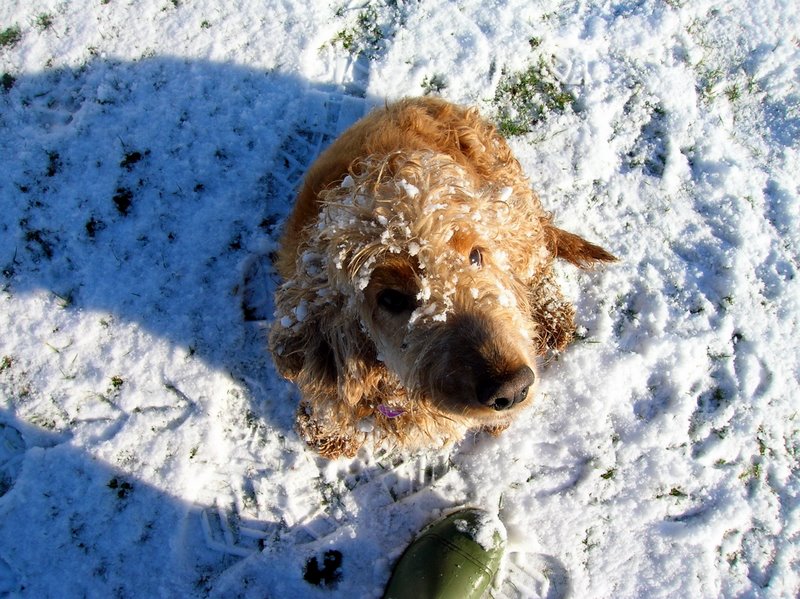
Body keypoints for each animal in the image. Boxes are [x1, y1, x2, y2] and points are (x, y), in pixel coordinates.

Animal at [269, 97, 615, 459]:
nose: (513, 388)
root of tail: (436, 102)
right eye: (390, 298)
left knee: (539, 253)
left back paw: (552, 318)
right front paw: (326, 433)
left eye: (475, 256)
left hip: (514, 207)